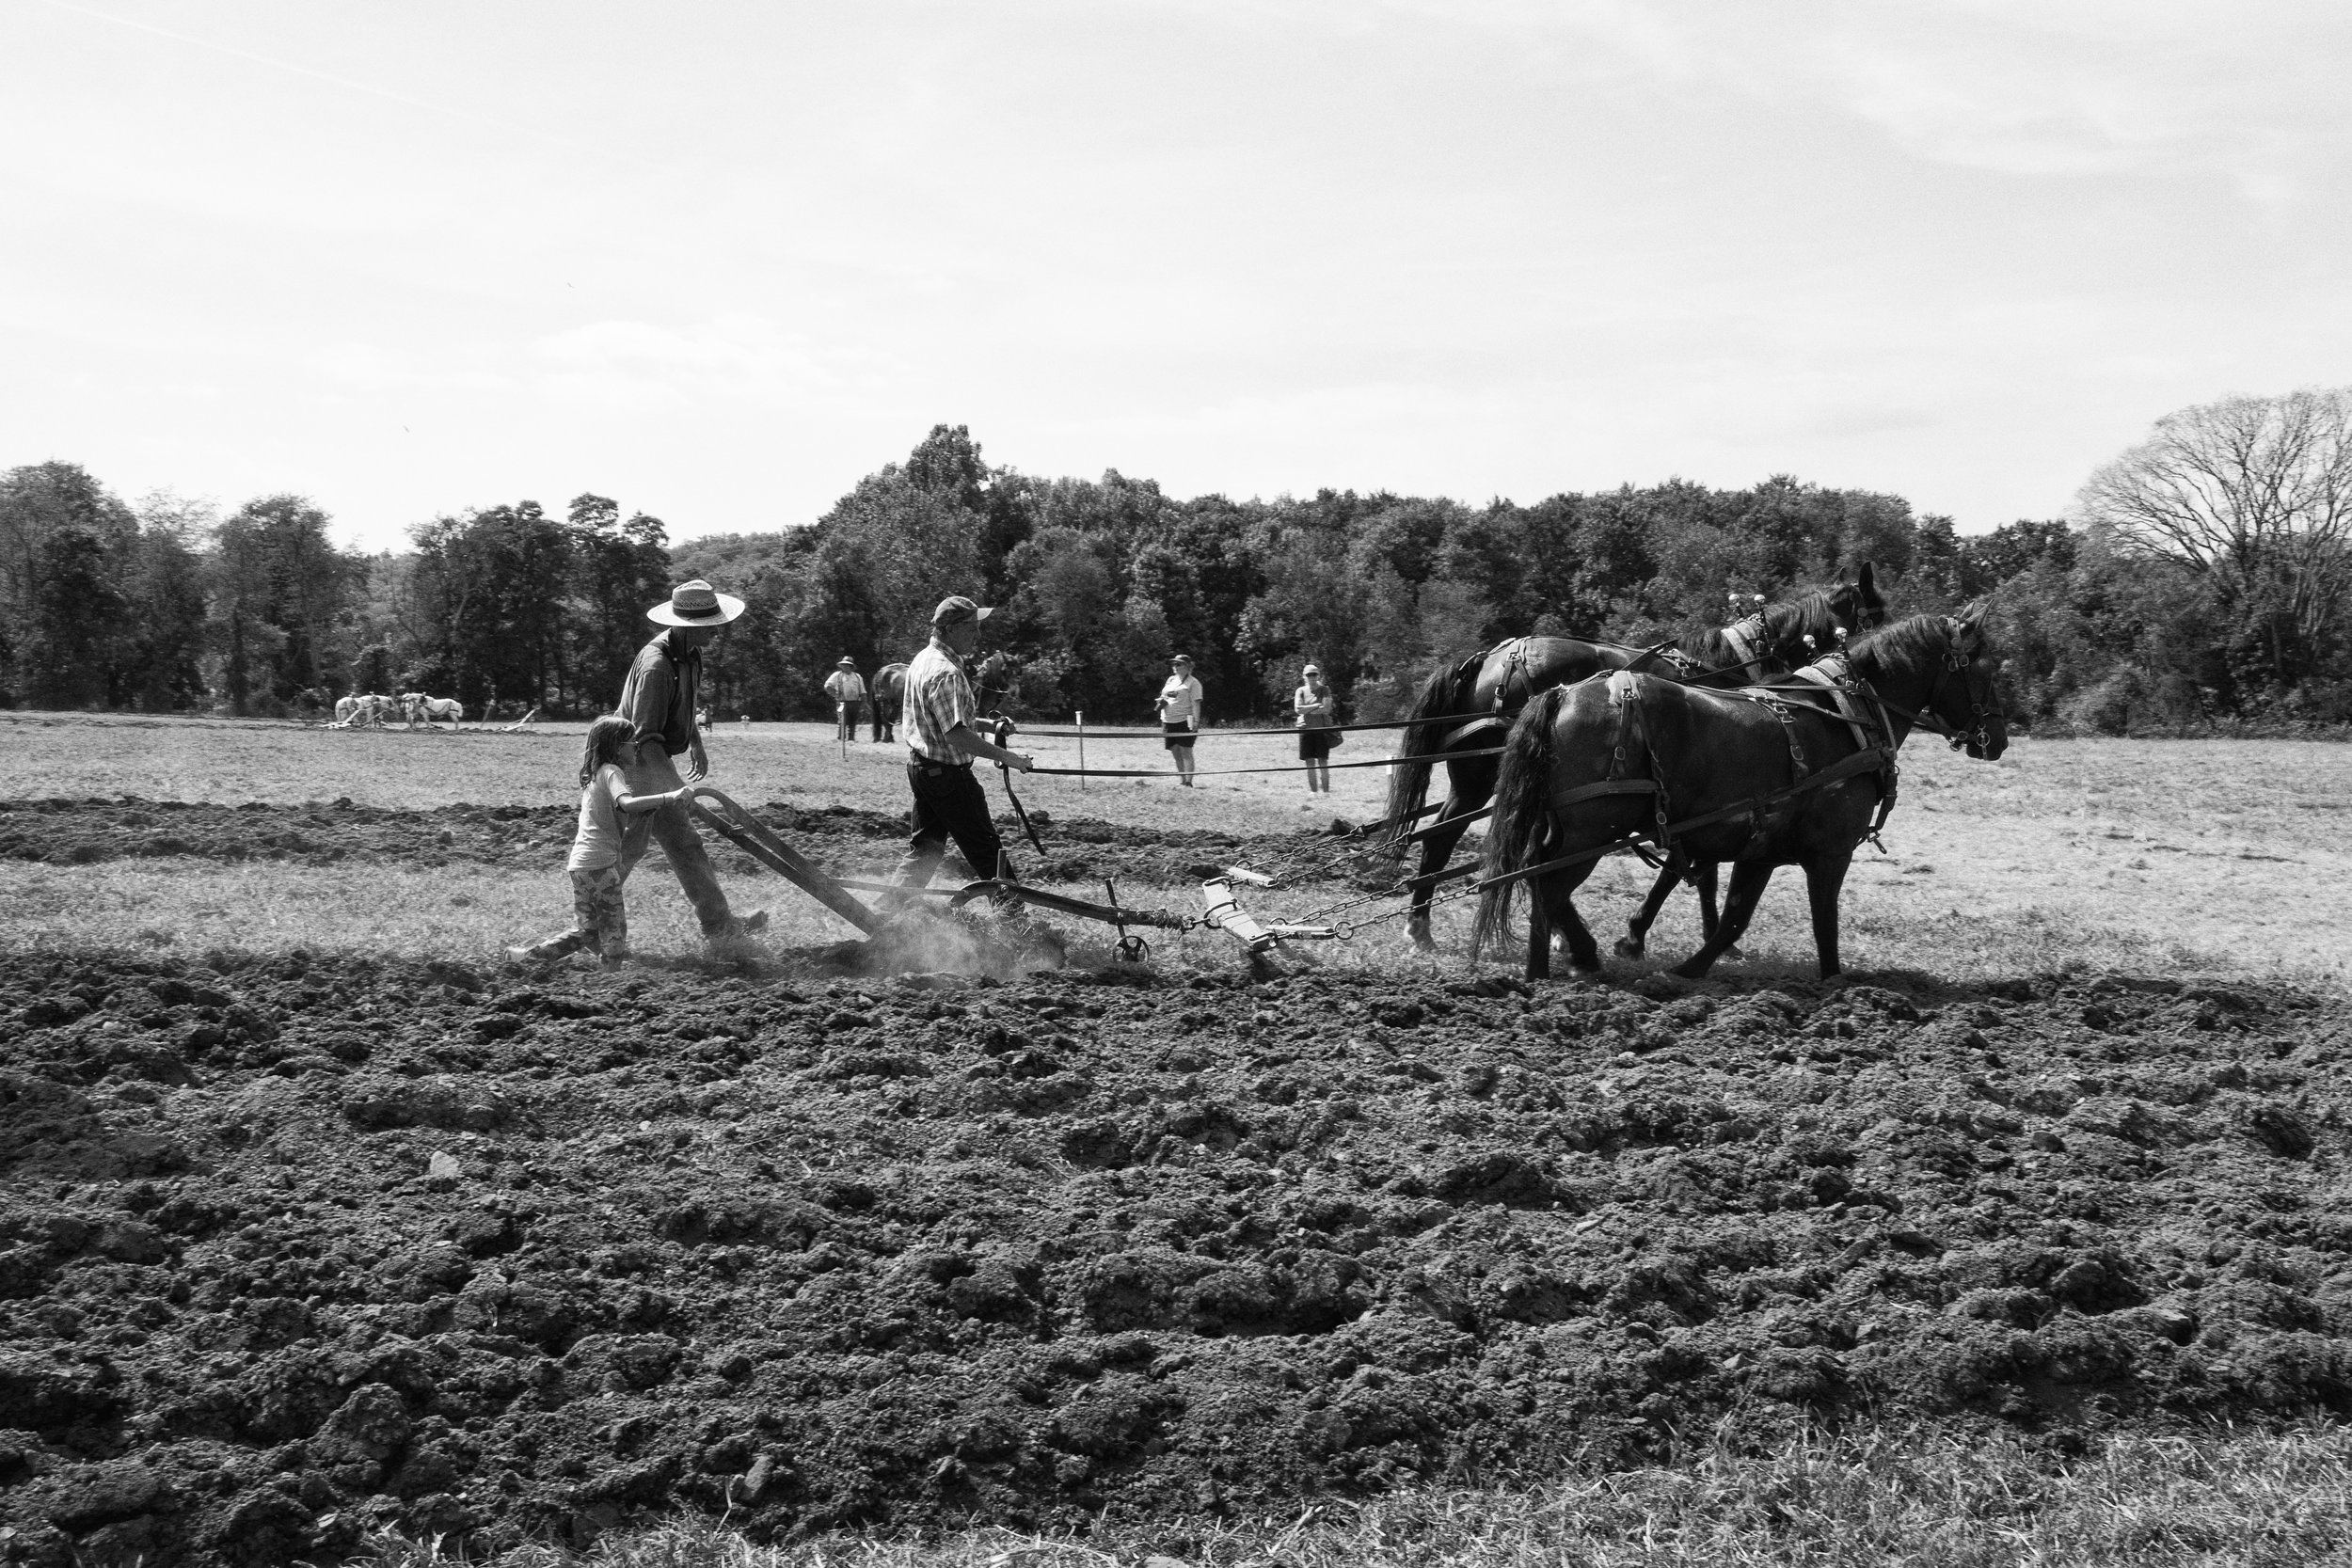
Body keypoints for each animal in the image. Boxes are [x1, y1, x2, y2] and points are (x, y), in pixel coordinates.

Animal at [1374, 571, 1891, 949]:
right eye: (1878, 615)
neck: (1731, 665)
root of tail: (1485, 660)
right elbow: (1699, 870)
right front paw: (1686, 935)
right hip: (1486, 779)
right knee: (1443, 837)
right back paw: (1422, 929)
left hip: (1478, 780)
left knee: (1441, 834)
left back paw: (1426, 926)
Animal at [1468, 610, 2004, 982]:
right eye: (1985, 671)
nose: (1996, 740)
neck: (1847, 715)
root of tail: (1561, 693)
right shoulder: (1830, 853)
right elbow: (1823, 924)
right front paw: (1837, 988)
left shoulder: (1759, 849)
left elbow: (1734, 918)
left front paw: (1687, 969)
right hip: (1591, 831)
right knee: (1546, 884)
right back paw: (1565, 961)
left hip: (1569, 827)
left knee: (1537, 877)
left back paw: (1546, 968)